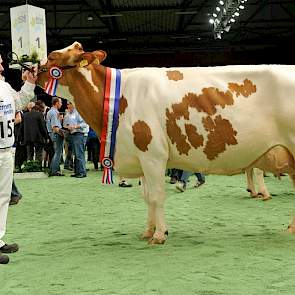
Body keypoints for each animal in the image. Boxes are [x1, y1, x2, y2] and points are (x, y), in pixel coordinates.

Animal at [37, 42, 295, 245]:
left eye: (52, 56)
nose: (31, 69)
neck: (118, 98)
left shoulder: (153, 156)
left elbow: (157, 196)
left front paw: (159, 235)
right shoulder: (141, 158)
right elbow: (146, 196)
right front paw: (148, 230)